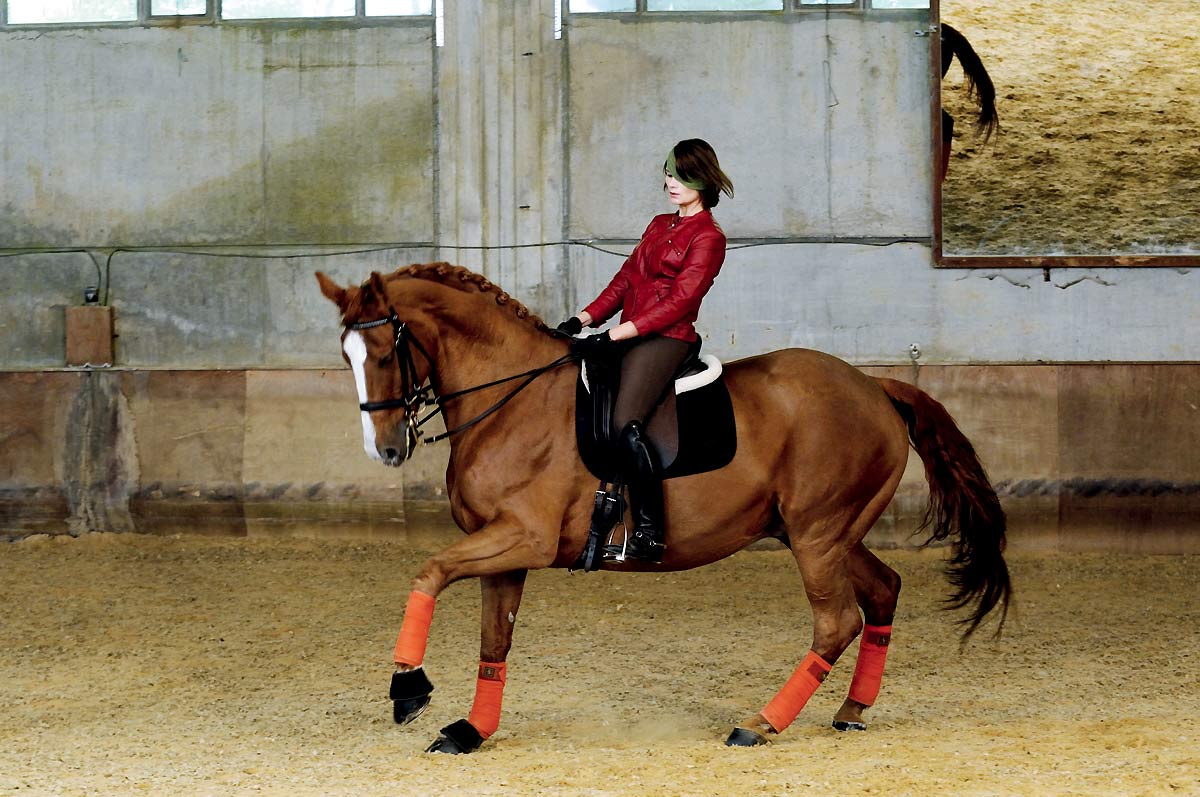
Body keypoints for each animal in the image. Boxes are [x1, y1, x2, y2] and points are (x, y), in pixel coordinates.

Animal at [314, 262, 1008, 753]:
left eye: (384, 355)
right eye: (346, 357)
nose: (386, 449)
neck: (511, 398)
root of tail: (875, 387)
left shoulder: (523, 537)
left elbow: (428, 572)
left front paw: (409, 688)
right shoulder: (503, 549)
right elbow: (495, 640)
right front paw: (471, 731)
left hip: (817, 535)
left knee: (837, 621)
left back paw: (760, 723)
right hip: (821, 533)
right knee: (884, 591)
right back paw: (851, 711)